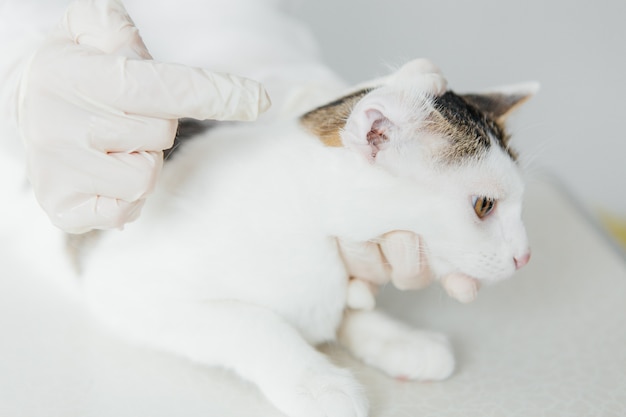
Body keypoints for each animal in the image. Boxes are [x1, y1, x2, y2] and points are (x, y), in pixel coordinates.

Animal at [47, 58, 532, 416]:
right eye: (484, 205)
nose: (526, 257)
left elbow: (346, 306)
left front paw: (399, 338)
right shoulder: (120, 284)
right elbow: (254, 321)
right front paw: (316, 383)